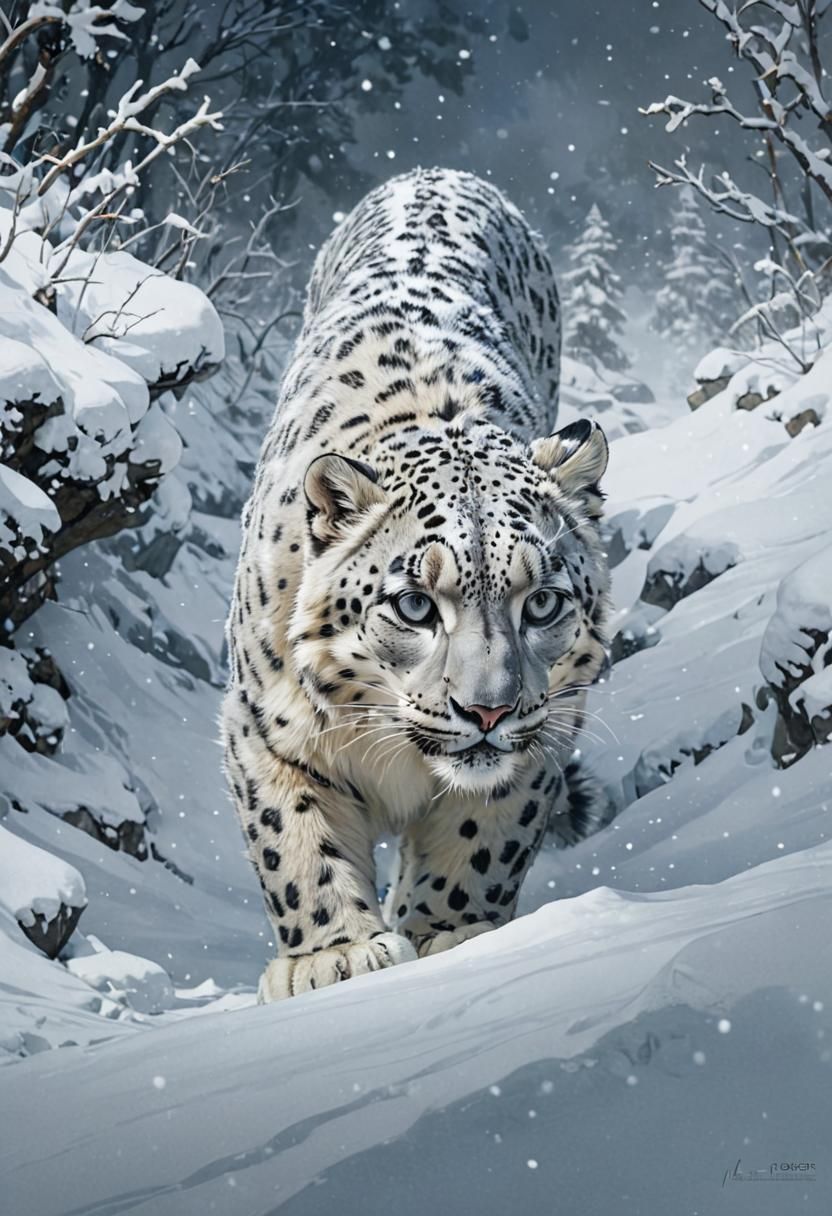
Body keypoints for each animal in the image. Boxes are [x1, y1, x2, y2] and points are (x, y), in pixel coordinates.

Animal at [221, 168, 613, 1002]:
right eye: (413, 605)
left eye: (541, 602)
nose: (489, 711)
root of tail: (437, 172)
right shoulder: (263, 726)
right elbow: (293, 836)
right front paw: (332, 956)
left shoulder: (545, 730)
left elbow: (483, 833)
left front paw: (451, 934)